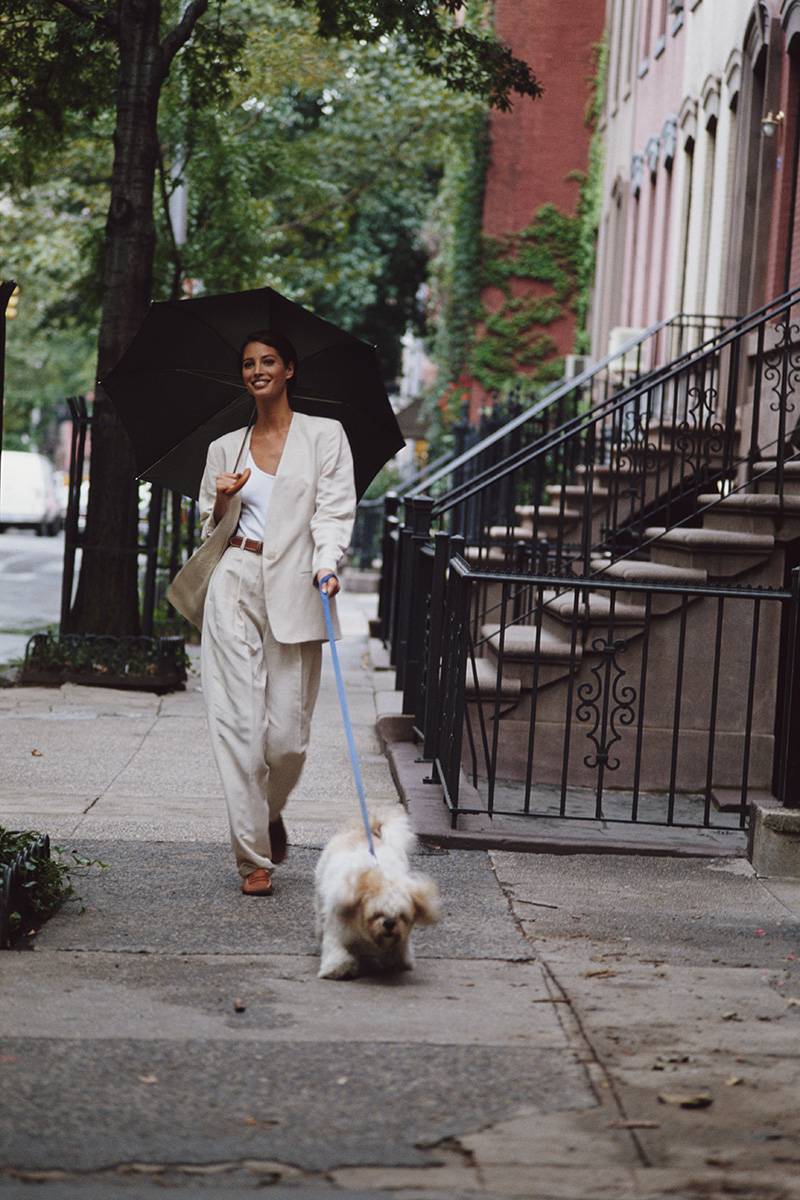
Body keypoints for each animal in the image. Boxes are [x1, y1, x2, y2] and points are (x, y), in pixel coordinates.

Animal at [311, 806, 441, 984]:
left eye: (402, 915)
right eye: (376, 913)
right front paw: (337, 968)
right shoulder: (338, 927)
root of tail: (368, 831)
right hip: (320, 894)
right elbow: (337, 948)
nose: (389, 923)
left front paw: (399, 961)